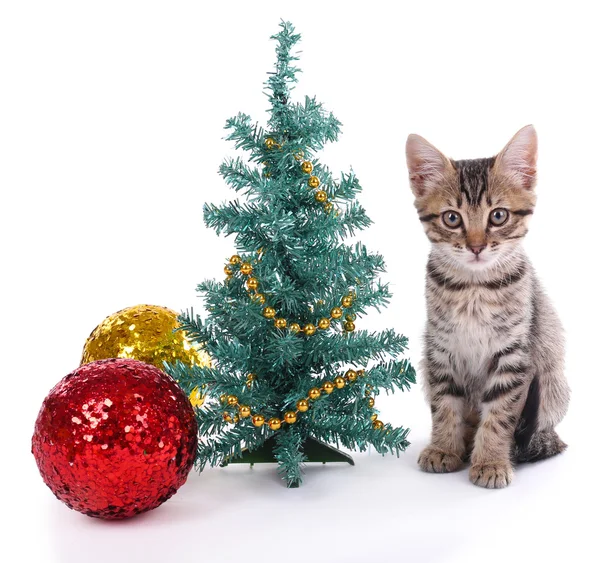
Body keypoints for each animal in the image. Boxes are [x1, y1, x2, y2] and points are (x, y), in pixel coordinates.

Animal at [406, 125, 568, 486]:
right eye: (452, 218)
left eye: (498, 216)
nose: (477, 247)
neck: (474, 289)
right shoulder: (440, 350)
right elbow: (444, 406)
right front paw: (444, 448)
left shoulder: (515, 355)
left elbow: (499, 415)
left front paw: (491, 461)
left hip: (554, 385)